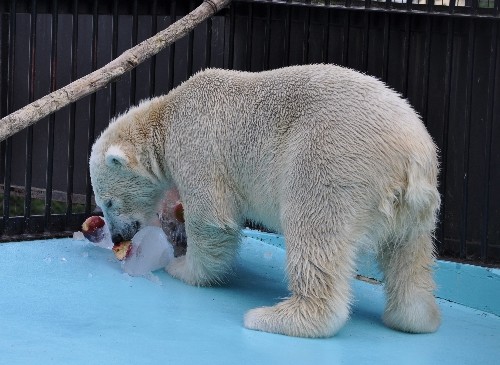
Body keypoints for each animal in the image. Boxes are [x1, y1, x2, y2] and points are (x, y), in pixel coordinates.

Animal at [90, 64, 442, 336]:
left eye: (108, 202)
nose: (118, 236)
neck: (165, 115)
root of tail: (411, 153)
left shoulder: (198, 144)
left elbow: (211, 218)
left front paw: (183, 268)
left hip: (331, 162)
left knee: (314, 232)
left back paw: (275, 318)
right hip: (416, 206)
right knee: (408, 255)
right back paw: (414, 318)